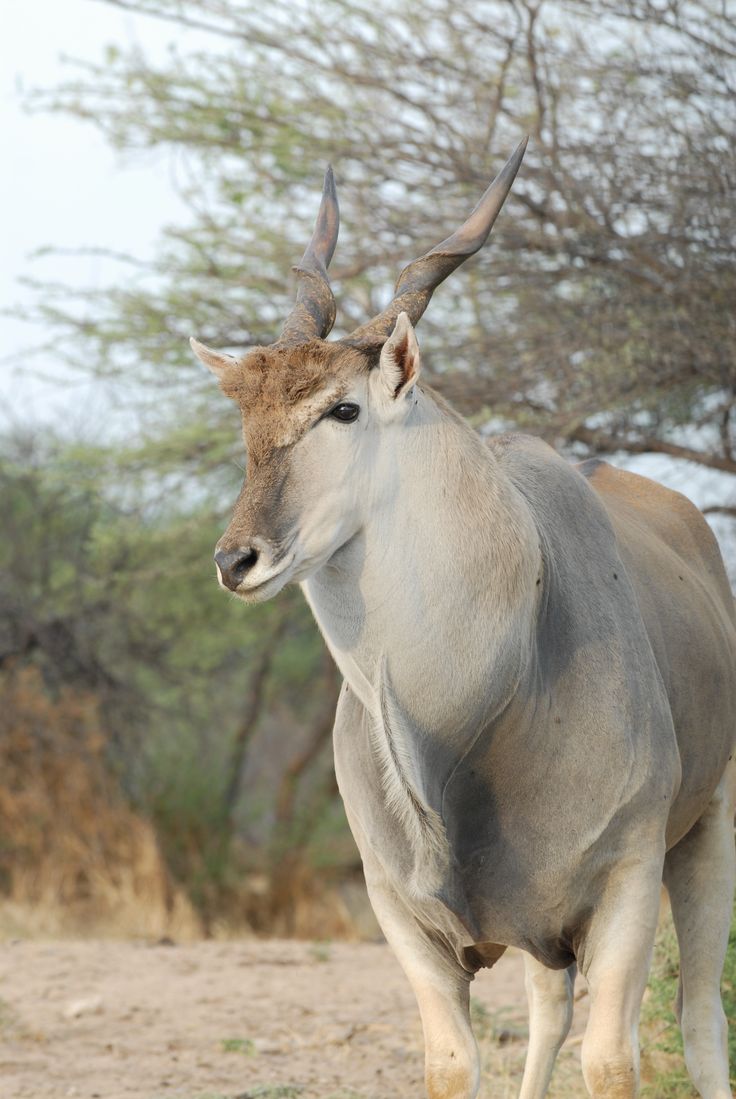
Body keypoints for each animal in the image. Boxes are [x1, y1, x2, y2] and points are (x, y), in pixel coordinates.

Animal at [192, 141, 736, 1094]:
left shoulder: (629, 879)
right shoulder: (406, 919)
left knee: (701, 1017)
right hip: (550, 936)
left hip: (709, 830)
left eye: (344, 408)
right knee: (551, 1010)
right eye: (246, 420)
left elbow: (612, 1059)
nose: (236, 560)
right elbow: (454, 1062)